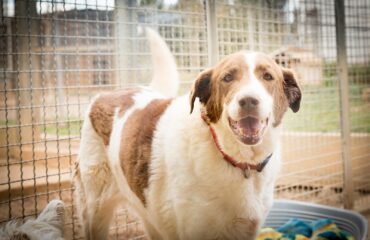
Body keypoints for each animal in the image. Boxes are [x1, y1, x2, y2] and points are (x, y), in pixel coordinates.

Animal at [74, 27, 300, 239]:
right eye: (227, 77)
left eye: (268, 76)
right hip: (95, 208)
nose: (249, 100)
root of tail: (106, 94)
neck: (238, 160)